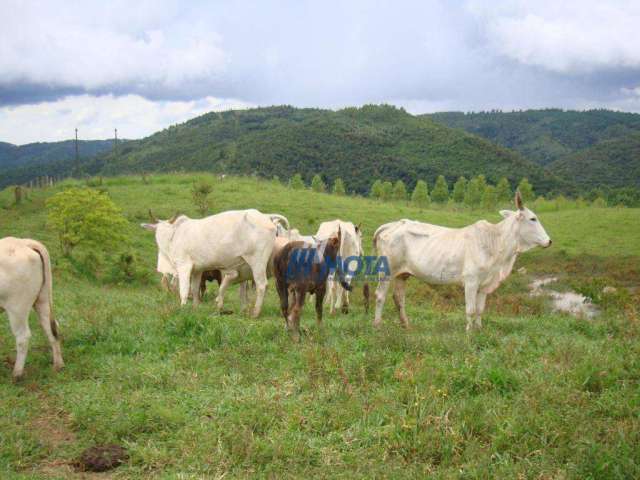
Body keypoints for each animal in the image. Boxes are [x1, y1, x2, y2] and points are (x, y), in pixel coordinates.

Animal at [0, 236, 63, 378]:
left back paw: (17, 374)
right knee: (51, 327)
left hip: (17, 307)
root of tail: (23, 242)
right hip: (43, 299)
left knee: (23, 336)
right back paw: (58, 365)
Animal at [142, 209, 278, 316]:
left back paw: (255, 312)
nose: (161, 243)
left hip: (257, 262)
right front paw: (195, 307)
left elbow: (184, 289)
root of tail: (265, 217)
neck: (176, 235)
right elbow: (195, 289)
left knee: (261, 285)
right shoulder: (197, 270)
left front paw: (182, 308)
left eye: (168, 233)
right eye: (157, 232)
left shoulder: (184, 266)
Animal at [372, 191, 552, 330]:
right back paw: (377, 325)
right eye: (533, 219)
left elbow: (480, 309)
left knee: (399, 298)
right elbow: (470, 310)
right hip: (386, 270)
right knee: (380, 295)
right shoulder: (471, 281)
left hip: (402, 274)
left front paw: (479, 329)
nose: (549, 241)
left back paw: (406, 325)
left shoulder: (484, 285)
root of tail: (393, 224)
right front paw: (469, 333)